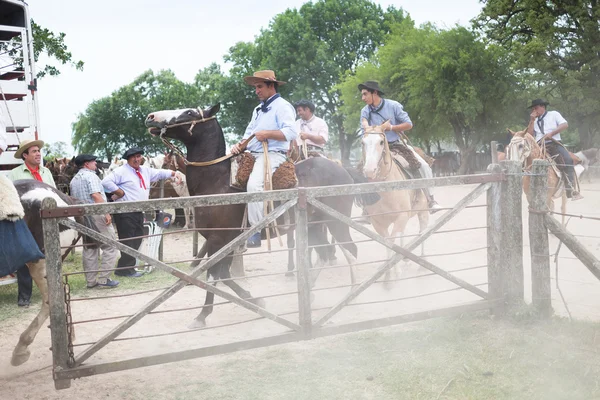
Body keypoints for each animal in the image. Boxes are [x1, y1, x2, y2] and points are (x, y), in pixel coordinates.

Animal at [146, 103, 370, 328]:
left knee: (351, 251)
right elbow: (224, 275)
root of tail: (343, 170)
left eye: (190, 113)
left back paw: (352, 296)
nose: (151, 117)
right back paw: (313, 293)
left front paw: (202, 315)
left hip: (336, 222)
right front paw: (256, 301)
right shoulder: (226, 241)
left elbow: (213, 275)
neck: (217, 182)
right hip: (315, 226)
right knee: (324, 254)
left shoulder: (219, 239)